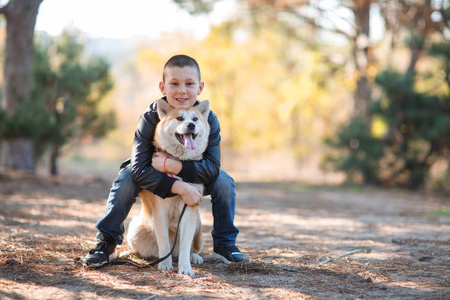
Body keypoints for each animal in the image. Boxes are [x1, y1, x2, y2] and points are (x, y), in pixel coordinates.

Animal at [126, 98, 211, 276]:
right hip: (135, 229)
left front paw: (185, 268)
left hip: (197, 223)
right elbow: (164, 241)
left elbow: (186, 244)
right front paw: (165, 264)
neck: (179, 162)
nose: (191, 125)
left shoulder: (190, 208)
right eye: (179, 118)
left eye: (195, 119)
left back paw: (194, 256)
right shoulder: (160, 210)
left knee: (192, 248)